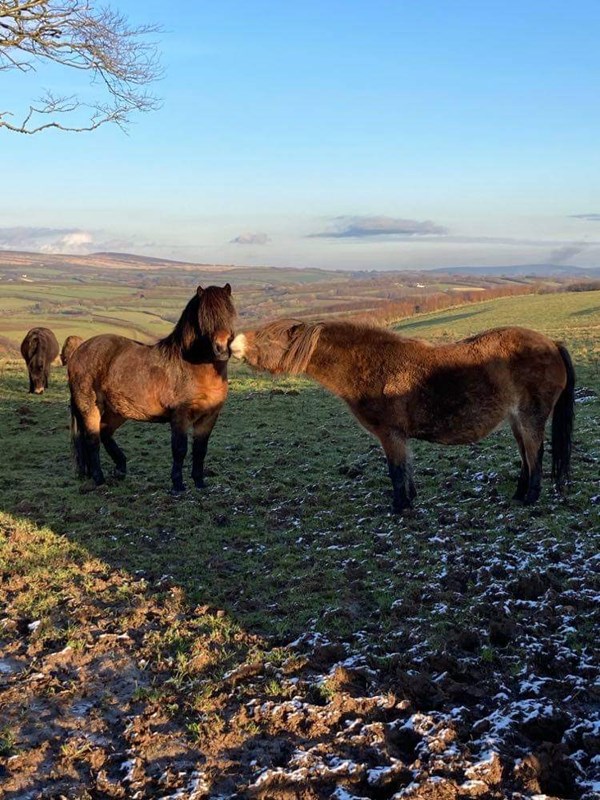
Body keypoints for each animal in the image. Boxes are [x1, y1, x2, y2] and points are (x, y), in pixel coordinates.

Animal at [68, 284, 237, 490]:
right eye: (204, 317)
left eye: (230, 313)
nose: (221, 349)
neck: (193, 366)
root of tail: (79, 351)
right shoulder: (180, 415)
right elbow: (179, 449)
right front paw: (178, 485)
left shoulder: (209, 416)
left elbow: (200, 450)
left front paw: (199, 482)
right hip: (90, 407)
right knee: (92, 440)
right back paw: (99, 478)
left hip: (116, 411)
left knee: (104, 432)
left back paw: (120, 469)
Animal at [232, 318, 576, 512]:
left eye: (268, 338)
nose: (232, 343)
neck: (372, 364)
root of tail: (552, 344)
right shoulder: (398, 437)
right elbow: (406, 468)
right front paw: (410, 500)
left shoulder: (391, 434)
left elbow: (396, 470)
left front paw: (400, 507)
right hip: (517, 420)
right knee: (527, 456)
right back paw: (519, 495)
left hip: (530, 417)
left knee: (534, 455)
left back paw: (530, 499)